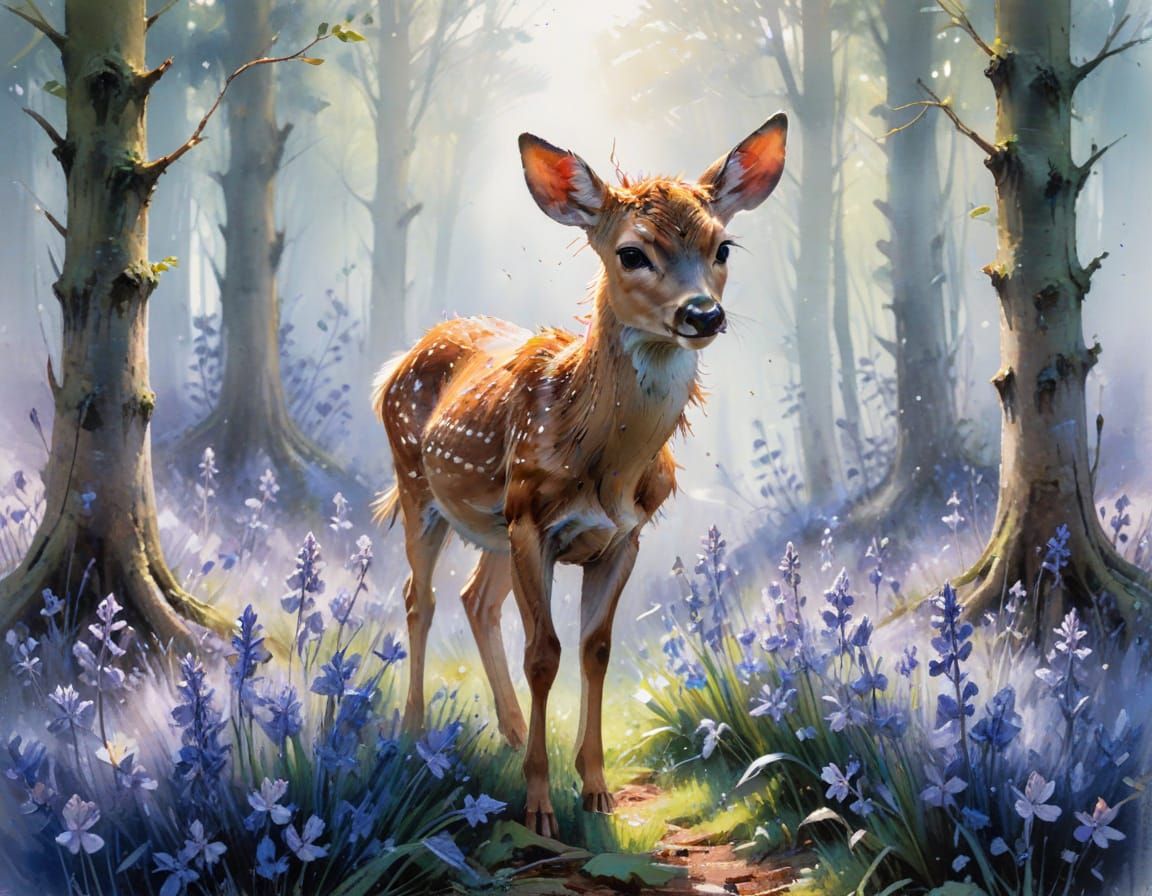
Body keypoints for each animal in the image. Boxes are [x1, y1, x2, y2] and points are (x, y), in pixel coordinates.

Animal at [372, 115, 787, 837]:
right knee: (418, 599)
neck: (605, 466)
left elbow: (595, 649)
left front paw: (595, 791)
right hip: (420, 486)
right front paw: (539, 806)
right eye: (632, 253)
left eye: (723, 245)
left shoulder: (622, 537)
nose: (702, 314)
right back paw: (415, 735)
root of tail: (399, 360)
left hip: (493, 522)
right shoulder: (533, 523)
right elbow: (545, 654)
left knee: (475, 599)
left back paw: (509, 733)